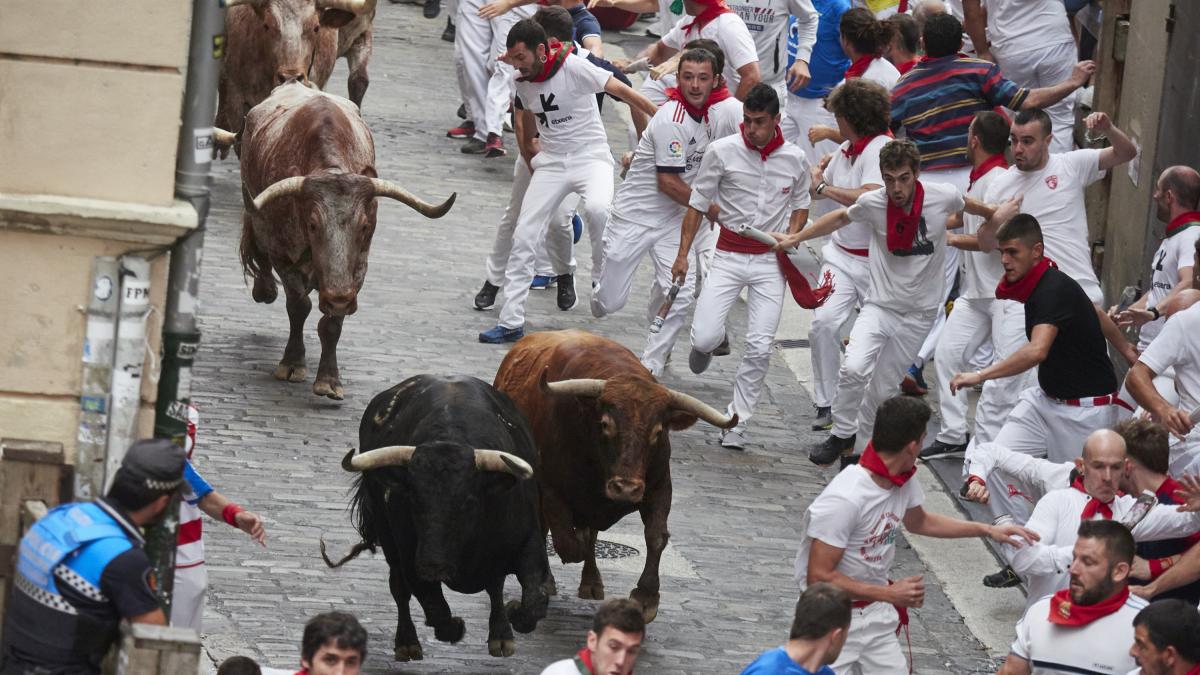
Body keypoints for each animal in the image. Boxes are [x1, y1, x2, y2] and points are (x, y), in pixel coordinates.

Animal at [237, 84, 453, 398]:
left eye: (363, 226)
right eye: (313, 224)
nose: (338, 298)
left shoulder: (359, 268)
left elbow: (331, 325)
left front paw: (329, 379)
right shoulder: (283, 256)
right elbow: (298, 307)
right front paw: (292, 362)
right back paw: (264, 289)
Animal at [316, 372, 547, 658]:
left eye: (469, 502)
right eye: (414, 500)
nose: (432, 565)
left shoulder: (530, 541)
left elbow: (533, 601)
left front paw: (511, 615)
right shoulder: (409, 556)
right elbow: (436, 608)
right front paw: (453, 626)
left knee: (496, 585)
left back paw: (500, 635)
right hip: (390, 542)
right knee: (399, 589)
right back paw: (407, 642)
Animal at [492, 326, 734, 619]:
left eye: (657, 432)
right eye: (606, 424)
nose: (626, 488)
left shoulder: (659, 488)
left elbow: (655, 536)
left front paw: (646, 597)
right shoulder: (550, 490)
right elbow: (566, 542)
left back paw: (591, 582)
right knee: (550, 530)